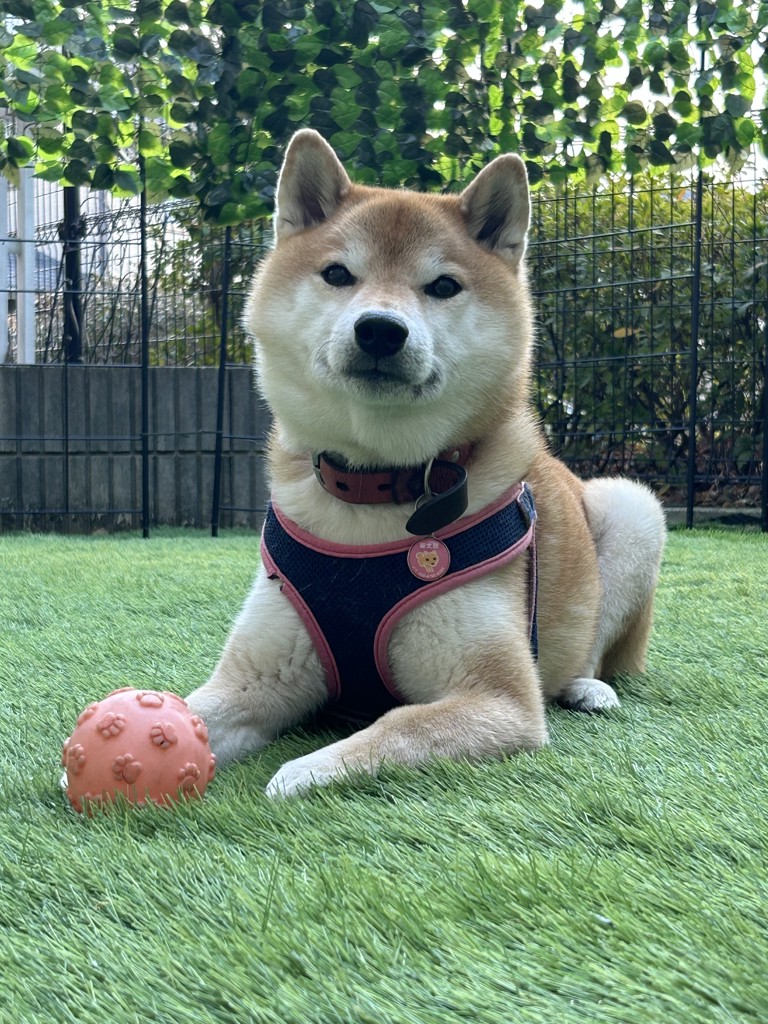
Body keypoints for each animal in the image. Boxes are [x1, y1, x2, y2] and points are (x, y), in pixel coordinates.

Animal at [186, 130, 667, 798]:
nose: (380, 330)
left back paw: (587, 686)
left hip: (632, 506)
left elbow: (398, 727)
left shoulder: (499, 700)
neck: (373, 491)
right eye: (338, 274)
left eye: (441, 286)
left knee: (595, 648)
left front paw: (304, 769)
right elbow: (184, 711)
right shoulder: (254, 677)